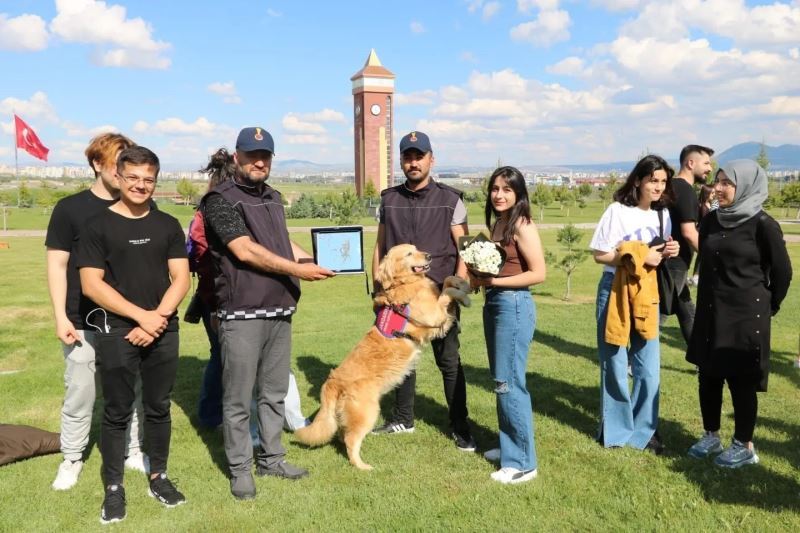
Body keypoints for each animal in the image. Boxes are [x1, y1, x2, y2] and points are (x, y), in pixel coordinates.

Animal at [294, 243, 468, 468]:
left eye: (416, 248)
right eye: (409, 253)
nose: (429, 255)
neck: (403, 284)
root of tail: (332, 382)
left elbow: (446, 281)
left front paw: (457, 280)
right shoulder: (434, 316)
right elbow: (446, 292)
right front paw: (459, 292)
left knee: (343, 435)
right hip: (367, 411)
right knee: (351, 440)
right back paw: (362, 466)